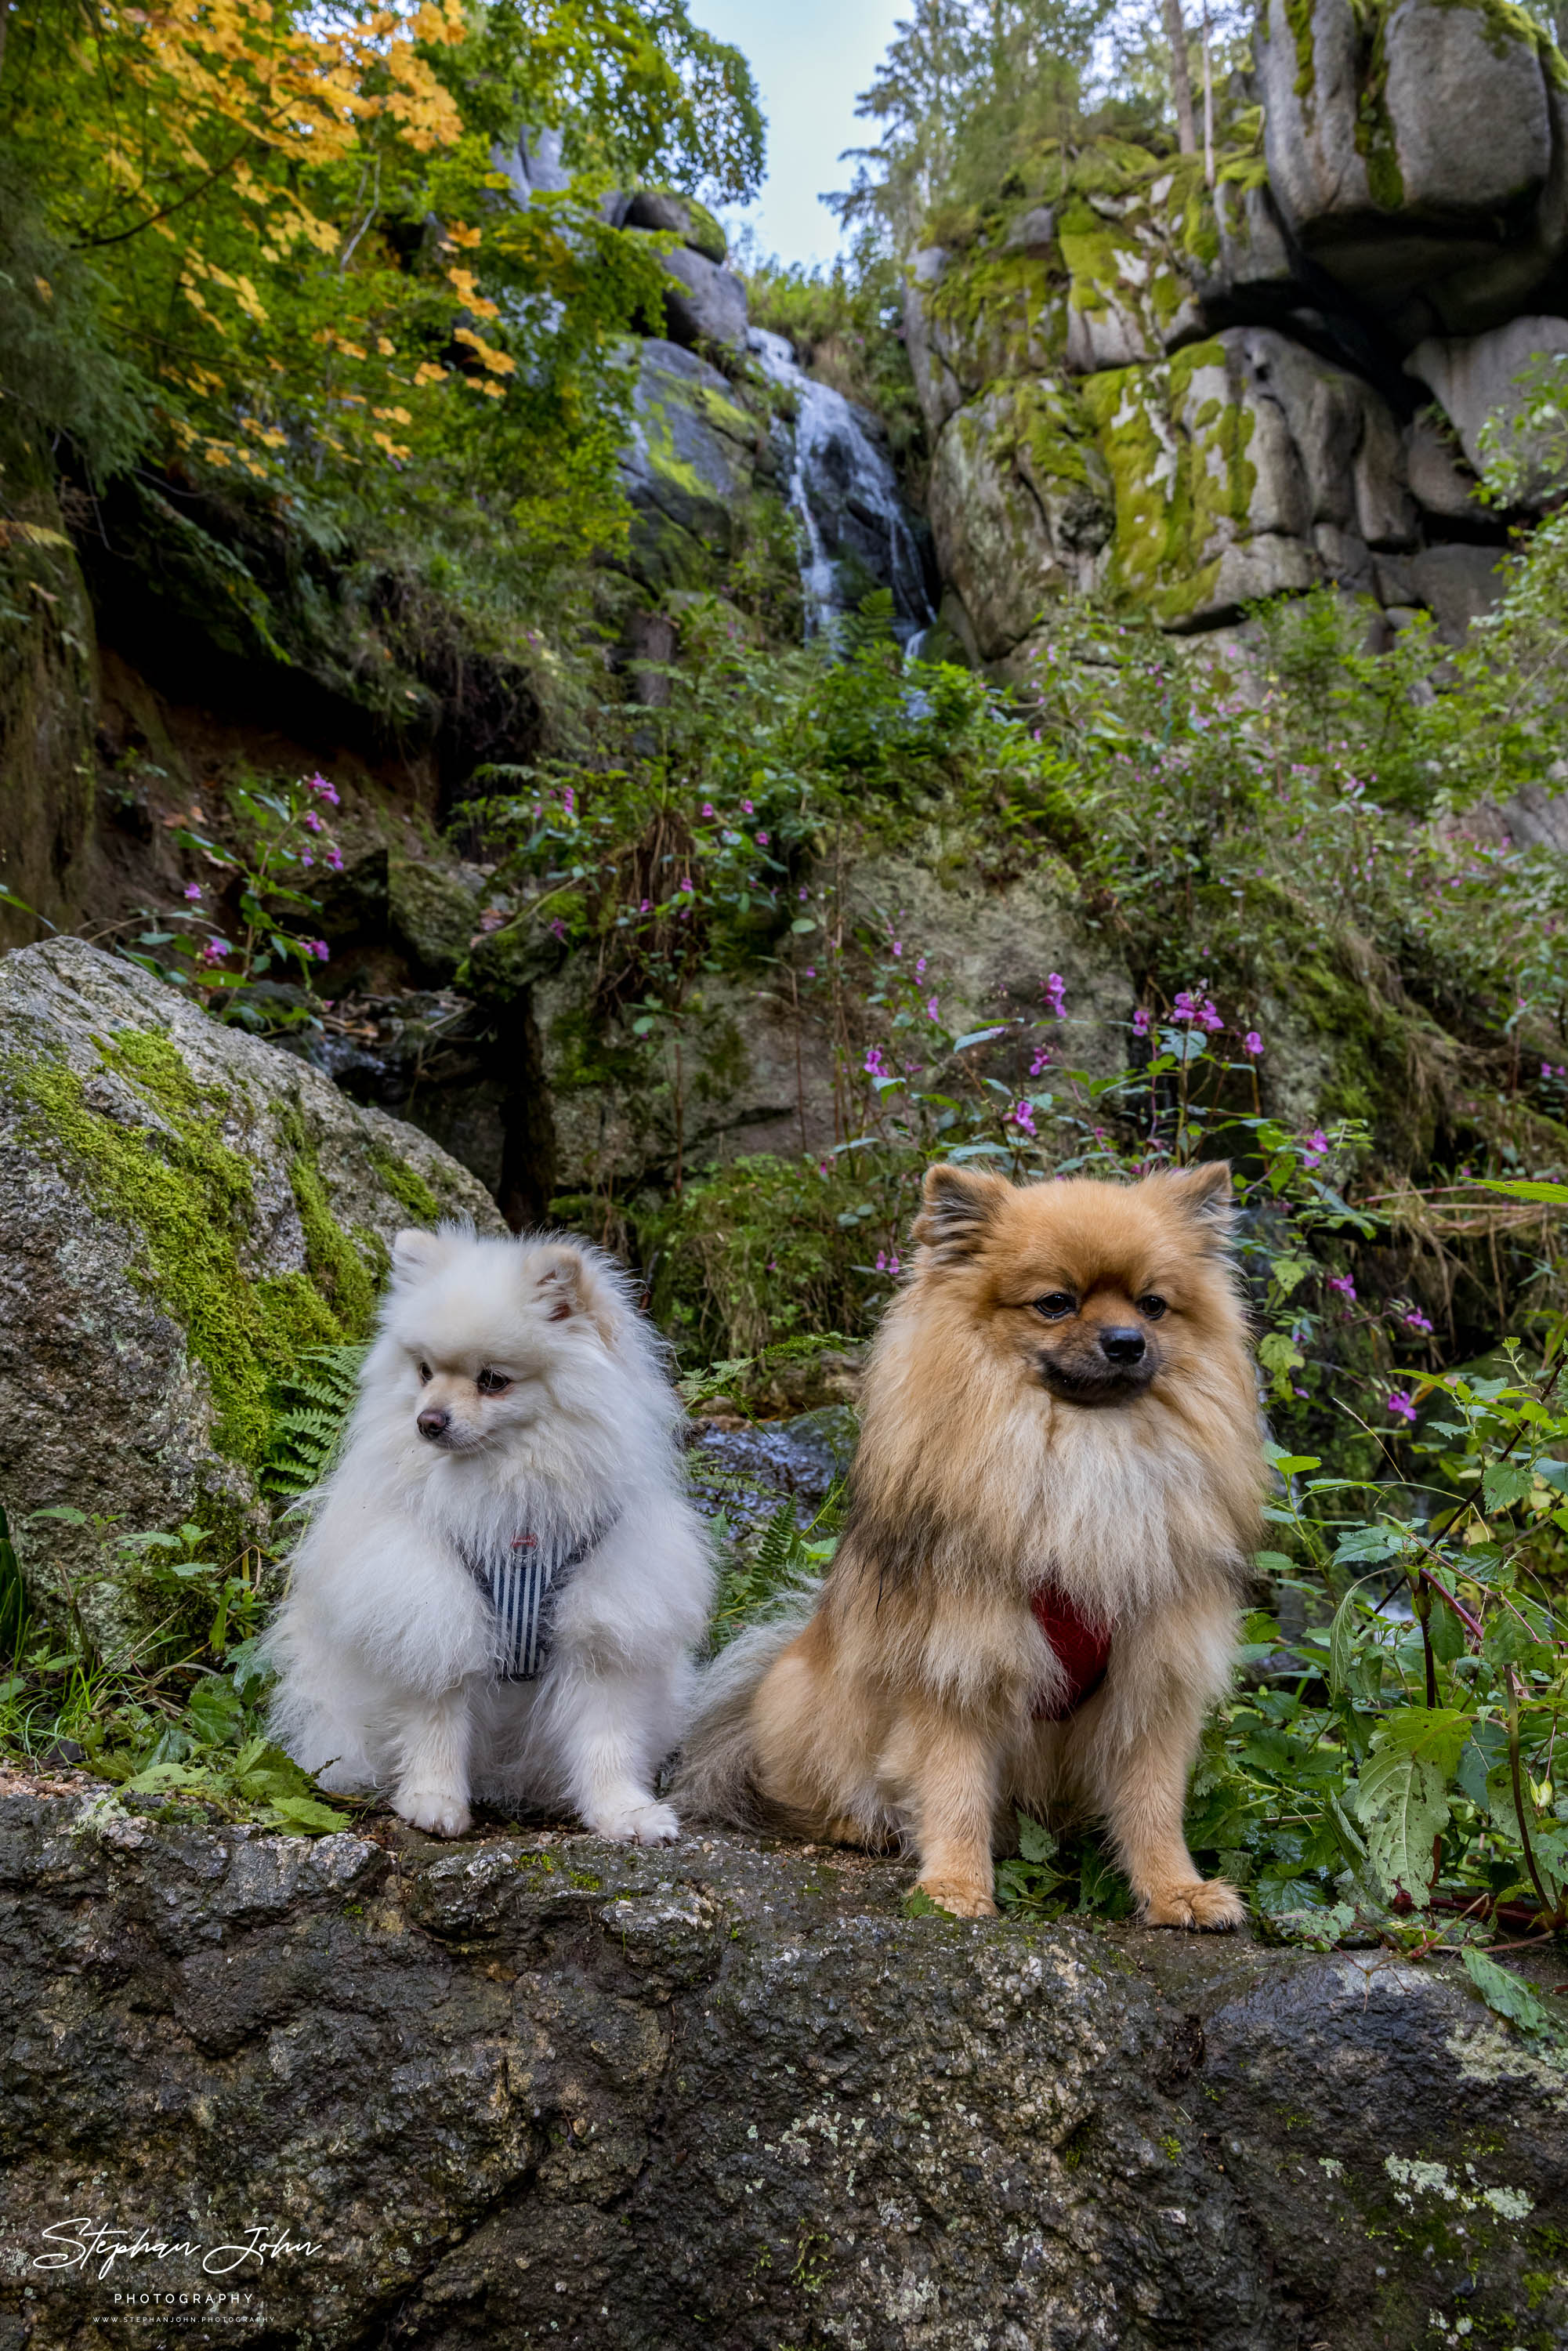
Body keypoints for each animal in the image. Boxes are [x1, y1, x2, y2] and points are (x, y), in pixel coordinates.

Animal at [266, 1223, 715, 1843]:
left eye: (493, 1381)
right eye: (425, 1372)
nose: (428, 1421)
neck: (511, 1499)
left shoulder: (605, 1625)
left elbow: (607, 1737)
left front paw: (624, 1812)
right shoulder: (431, 1610)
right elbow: (435, 1721)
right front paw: (433, 1801)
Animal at [677, 1161, 1279, 1928]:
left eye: (1152, 1306)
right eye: (1055, 1304)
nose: (1126, 1341)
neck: (1088, 1447)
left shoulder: (1151, 1673)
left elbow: (1152, 1803)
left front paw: (1176, 1891)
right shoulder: (960, 1662)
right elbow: (954, 1788)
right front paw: (956, 1888)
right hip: (808, 1699)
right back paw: (859, 1825)